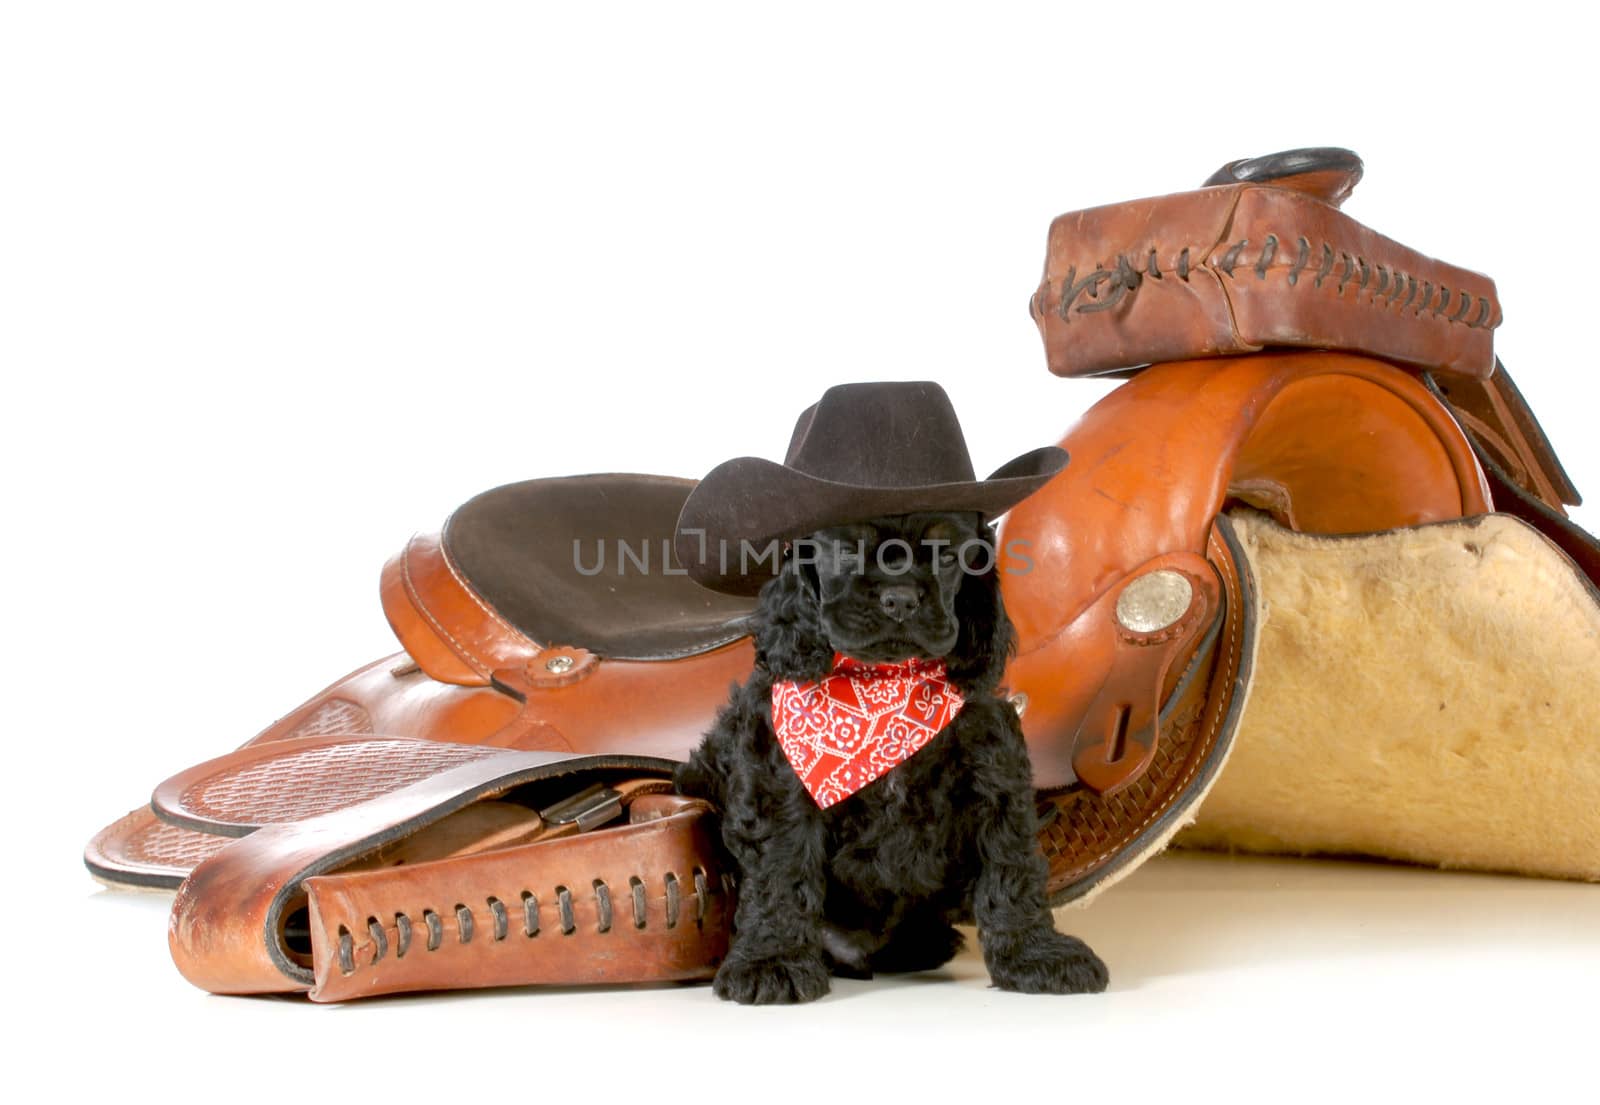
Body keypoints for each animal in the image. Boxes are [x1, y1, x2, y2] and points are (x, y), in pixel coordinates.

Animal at [668, 508, 1107, 1004]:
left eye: (947, 554)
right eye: (848, 549)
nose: (900, 600)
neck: (882, 689)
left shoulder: (994, 773)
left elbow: (1010, 867)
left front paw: (1035, 955)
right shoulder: (779, 784)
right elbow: (780, 870)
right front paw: (771, 961)